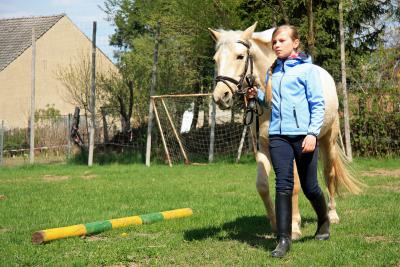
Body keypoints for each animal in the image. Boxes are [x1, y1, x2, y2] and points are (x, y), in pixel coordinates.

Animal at [209, 23, 362, 240]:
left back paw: (332, 215)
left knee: (329, 174)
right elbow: (262, 186)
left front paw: (294, 226)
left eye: (240, 56)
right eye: (215, 59)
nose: (220, 97)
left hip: (328, 141)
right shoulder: (263, 147)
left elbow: (295, 185)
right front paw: (275, 225)